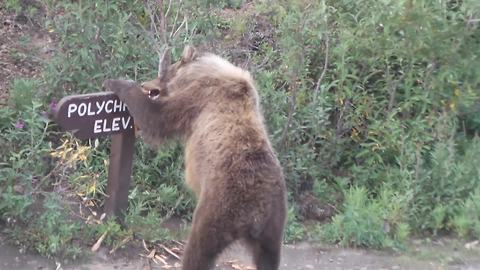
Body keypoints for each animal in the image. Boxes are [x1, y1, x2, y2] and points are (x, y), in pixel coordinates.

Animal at [103, 46, 286, 270]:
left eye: (163, 74)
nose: (146, 84)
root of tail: (255, 213)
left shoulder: (198, 98)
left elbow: (158, 117)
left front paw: (118, 83)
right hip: (274, 224)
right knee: (268, 257)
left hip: (218, 207)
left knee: (199, 250)